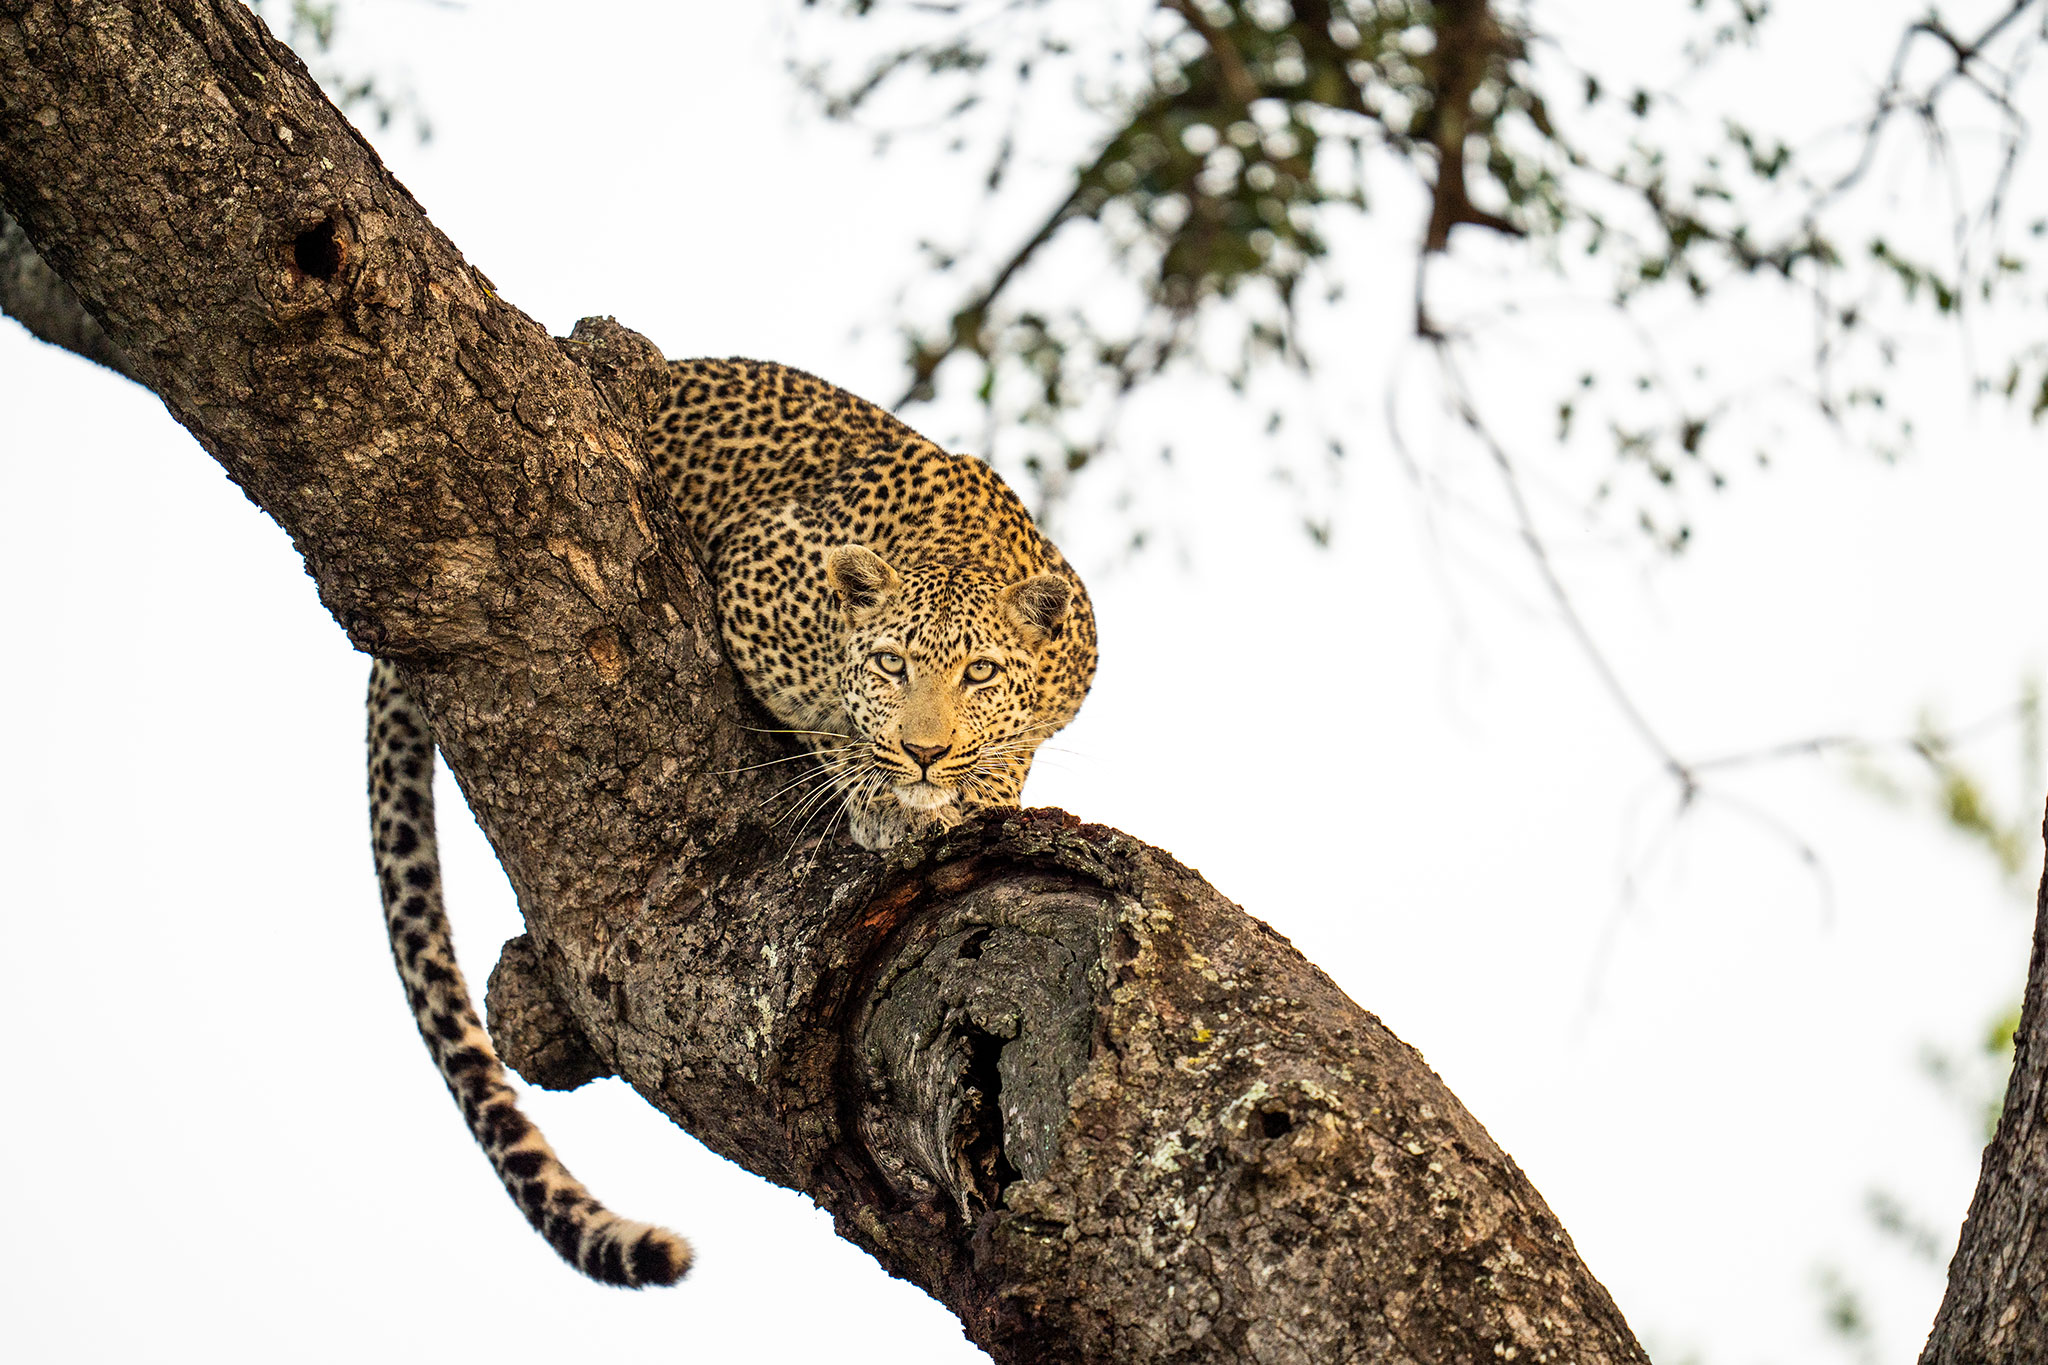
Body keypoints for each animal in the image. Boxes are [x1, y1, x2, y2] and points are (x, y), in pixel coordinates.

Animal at [366, 357, 1097, 1287]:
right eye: (891, 663)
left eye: (981, 673)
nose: (926, 752)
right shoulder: (757, 581)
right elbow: (836, 722)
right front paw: (880, 790)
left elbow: (1018, 743)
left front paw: (979, 782)